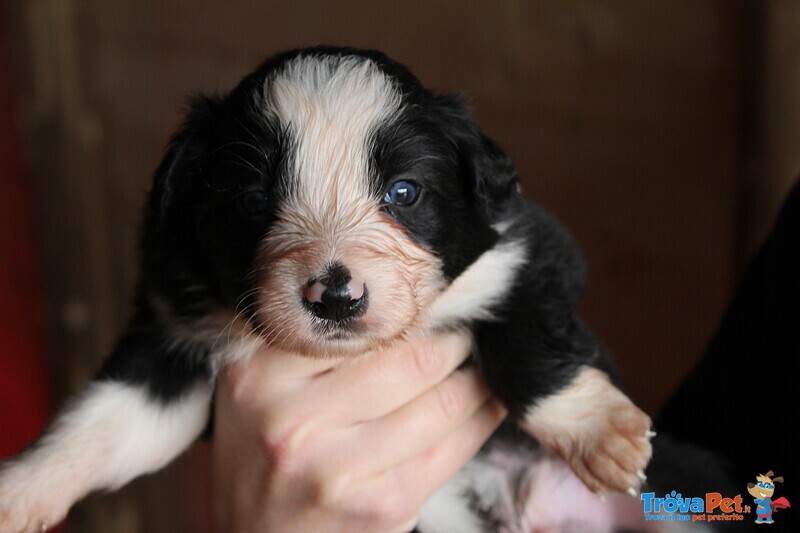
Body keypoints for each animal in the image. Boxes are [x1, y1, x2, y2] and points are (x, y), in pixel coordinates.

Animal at [0, 47, 656, 528]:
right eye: (253, 200)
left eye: (403, 192)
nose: (336, 297)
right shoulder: (175, 335)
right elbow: (104, 421)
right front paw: (20, 491)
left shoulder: (522, 252)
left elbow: (528, 345)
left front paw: (599, 431)